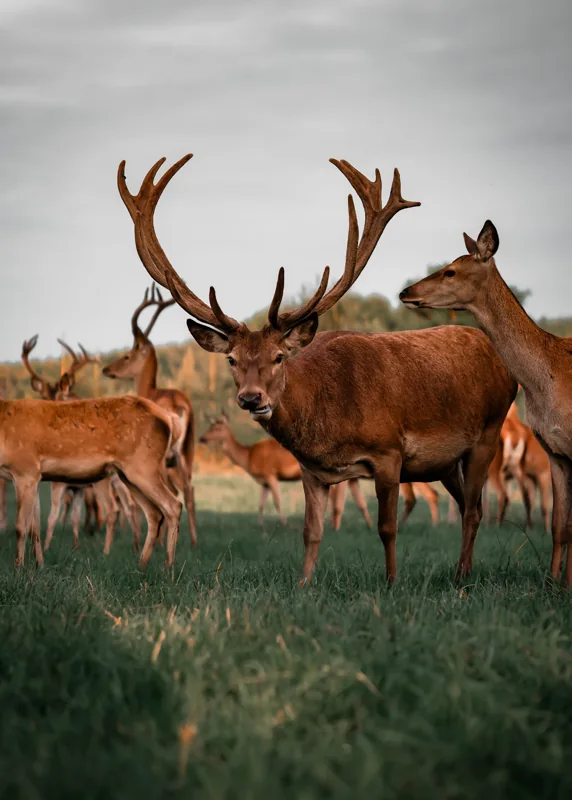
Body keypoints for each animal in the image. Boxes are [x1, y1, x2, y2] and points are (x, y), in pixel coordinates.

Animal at [102, 286, 197, 547]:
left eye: (127, 354)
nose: (106, 369)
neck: (151, 390)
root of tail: (178, 405)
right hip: (186, 453)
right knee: (189, 491)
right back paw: (194, 543)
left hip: (162, 460)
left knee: (173, 495)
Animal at [199, 413, 372, 529]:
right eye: (210, 426)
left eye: (216, 428)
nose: (202, 438)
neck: (248, 457)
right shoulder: (264, 482)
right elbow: (261, 504)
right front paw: (261, 527)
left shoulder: (270, 473)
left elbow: (277, 500)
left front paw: (283, 523)